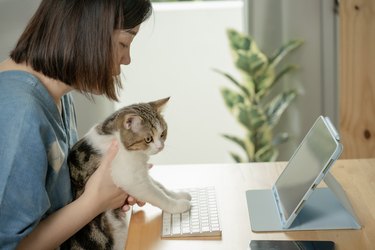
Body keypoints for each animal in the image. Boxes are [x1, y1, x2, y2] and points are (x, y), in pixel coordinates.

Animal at [63, 97, 192, 250]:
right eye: (148, 139)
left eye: (162, 134)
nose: (160, 147)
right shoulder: (132, 180)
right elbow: (159, 195)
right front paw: (179, 206)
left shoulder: (140, 172)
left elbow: (160, 187)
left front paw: (178, 195)